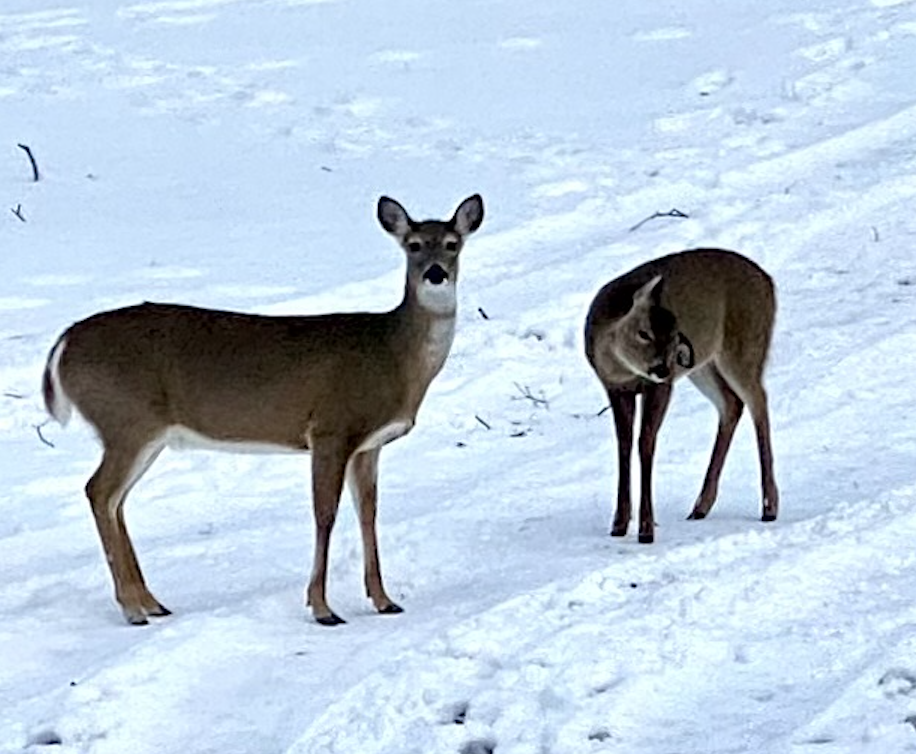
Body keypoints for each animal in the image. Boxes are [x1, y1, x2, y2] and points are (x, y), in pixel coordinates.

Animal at [41, 192, 486, 624]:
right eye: (413, 245)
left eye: (452, 244)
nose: (435, 274)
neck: (393, 353)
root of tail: (64, 343)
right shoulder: (330, 427)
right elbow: (325, 514)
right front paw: (322, 608)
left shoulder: (368, 444)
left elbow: (368, 514)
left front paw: (383, 601)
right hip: (127, 420)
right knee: (99, 491)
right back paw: (133, 609)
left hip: (144, 433)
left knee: (115, 500)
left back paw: (152, 603)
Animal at [584, 250, 776, 544]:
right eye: (644, 333)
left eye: (675, 339)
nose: (662, 368)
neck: (621, 367)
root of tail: (769, 283)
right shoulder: (615, 388)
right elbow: (624, 444)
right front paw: (619, 524)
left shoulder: (660, 387)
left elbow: (646, 442)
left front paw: (646, 529)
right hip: (704, 365)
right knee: (731, 404)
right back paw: (700, 506)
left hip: (744, 346)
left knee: (759, 402)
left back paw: (769, 507)